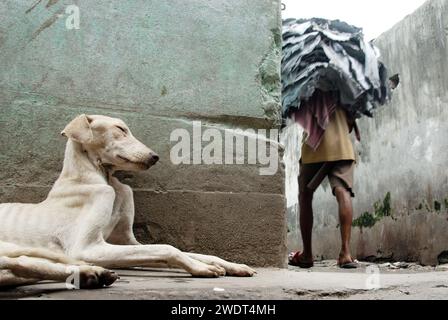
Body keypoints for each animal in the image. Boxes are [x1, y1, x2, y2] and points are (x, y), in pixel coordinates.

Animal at [0, 114, 256, 288]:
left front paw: (229, 265)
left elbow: (187, 251)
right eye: (120, 128)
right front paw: (200, 268)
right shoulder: (88, 247)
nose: (155, 157)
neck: (103, 178)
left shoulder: (128, 242)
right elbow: (168, 248)